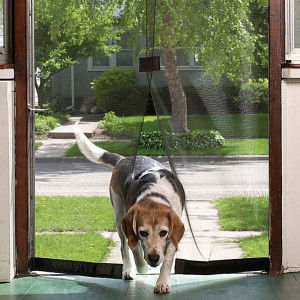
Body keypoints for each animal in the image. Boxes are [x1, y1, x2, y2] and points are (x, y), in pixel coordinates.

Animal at [74, 123, 184, 294]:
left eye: (163, 232)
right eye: (143, 233)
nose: (153, 258)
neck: (155, 195)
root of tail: (124, 159)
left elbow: (167, 259)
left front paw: (162, 282)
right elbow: (136, 250)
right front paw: (143, 267)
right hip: (119, 217)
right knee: (124, 247)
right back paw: (128, 270)